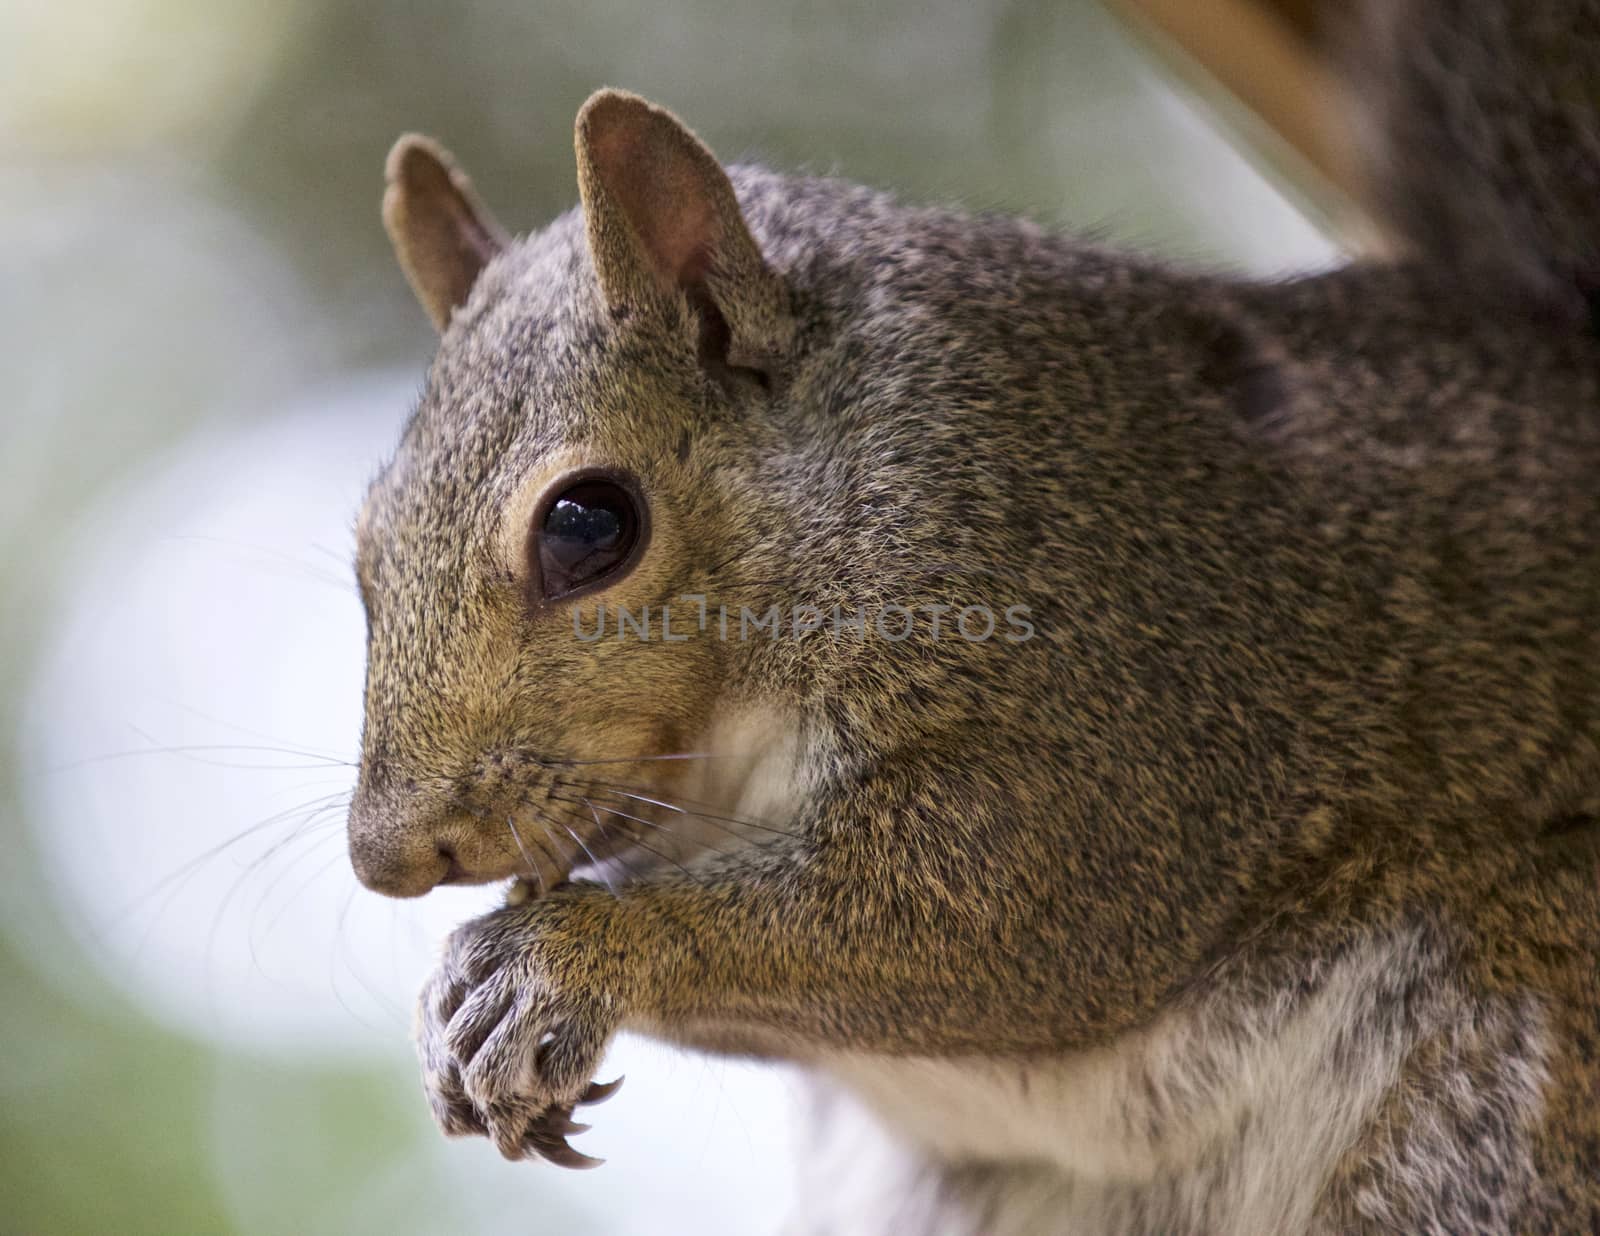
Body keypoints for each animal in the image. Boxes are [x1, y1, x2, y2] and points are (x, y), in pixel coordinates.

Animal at [347, 2, 1600, 1223]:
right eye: (366, 545)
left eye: (586, 526)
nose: (389, 858)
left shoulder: (1127, 695)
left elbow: (1001, 916)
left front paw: (560, 959)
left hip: (1508, 1071)